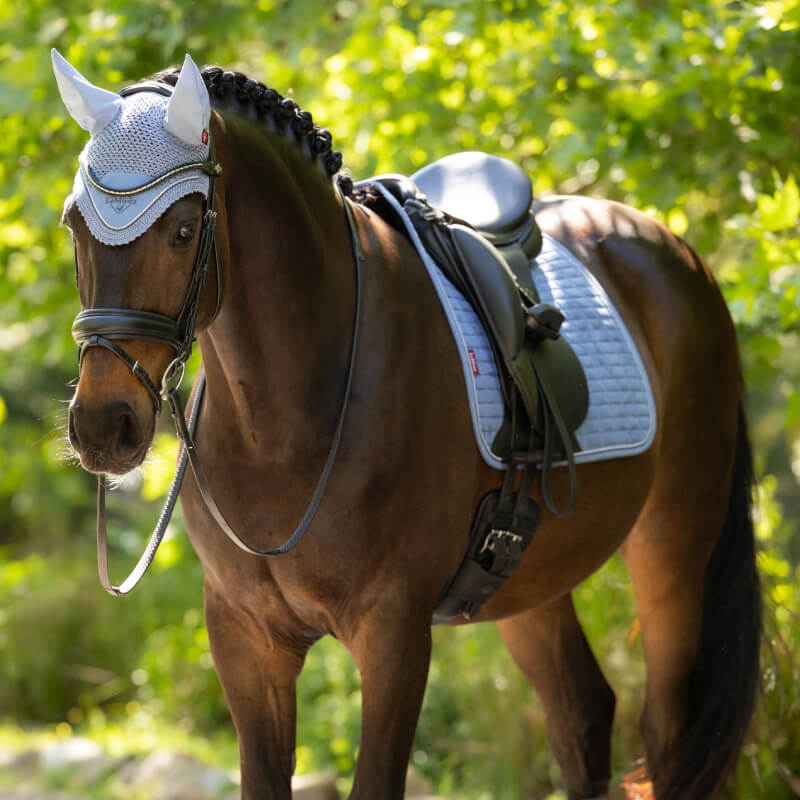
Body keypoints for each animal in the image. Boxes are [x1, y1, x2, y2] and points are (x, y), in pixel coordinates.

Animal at [56, 52, 761, 800]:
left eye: (184, 231)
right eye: (75, 225)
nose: (101, 427)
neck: (285, 419)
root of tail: (675, 252)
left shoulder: (393, 633)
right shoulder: (245, 636)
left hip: (674, 542)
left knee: (667, 730)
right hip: (527, 581)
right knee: (582, 715)